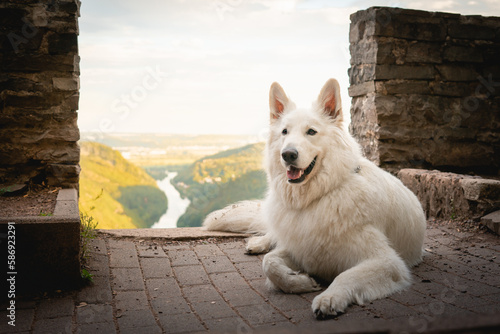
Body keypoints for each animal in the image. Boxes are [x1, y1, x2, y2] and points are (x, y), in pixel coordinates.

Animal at [203, 78, 426, 318]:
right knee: (272, 237)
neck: (316, 197)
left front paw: (330, 297)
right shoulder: (301, 247)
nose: (288, 154)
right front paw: (300, 282)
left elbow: (345, 275)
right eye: (284, 132)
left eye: (311, 132)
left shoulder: (386, 261)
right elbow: (269, 263)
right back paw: (259, 243)